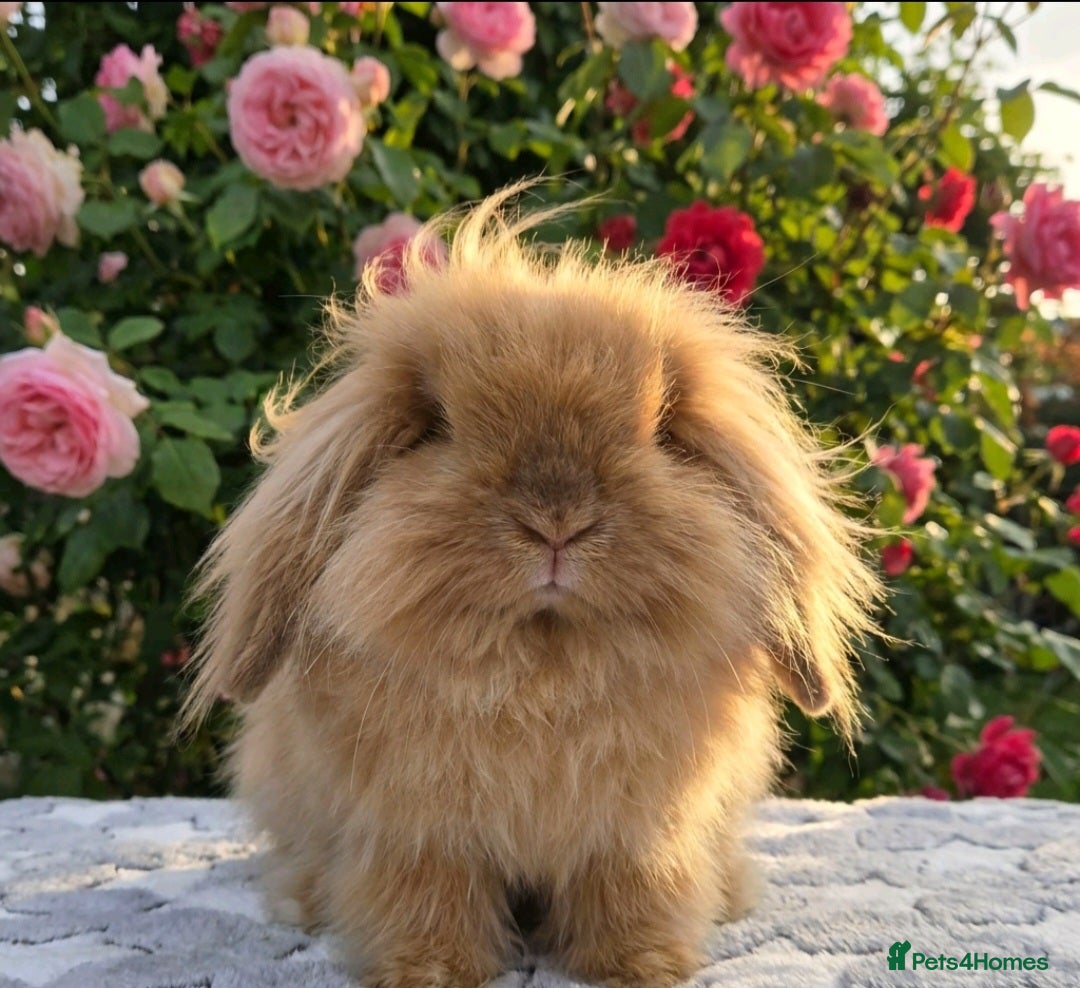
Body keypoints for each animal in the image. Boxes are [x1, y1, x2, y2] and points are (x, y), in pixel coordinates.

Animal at [182, 184, 882, 988]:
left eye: (663, 427)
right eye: (435, 425)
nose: (556, 522)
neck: (541, 672)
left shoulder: (638, 838)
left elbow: (633, 892)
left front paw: (642, 965)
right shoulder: (415, 839)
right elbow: (424, 900)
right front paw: (431, 971)